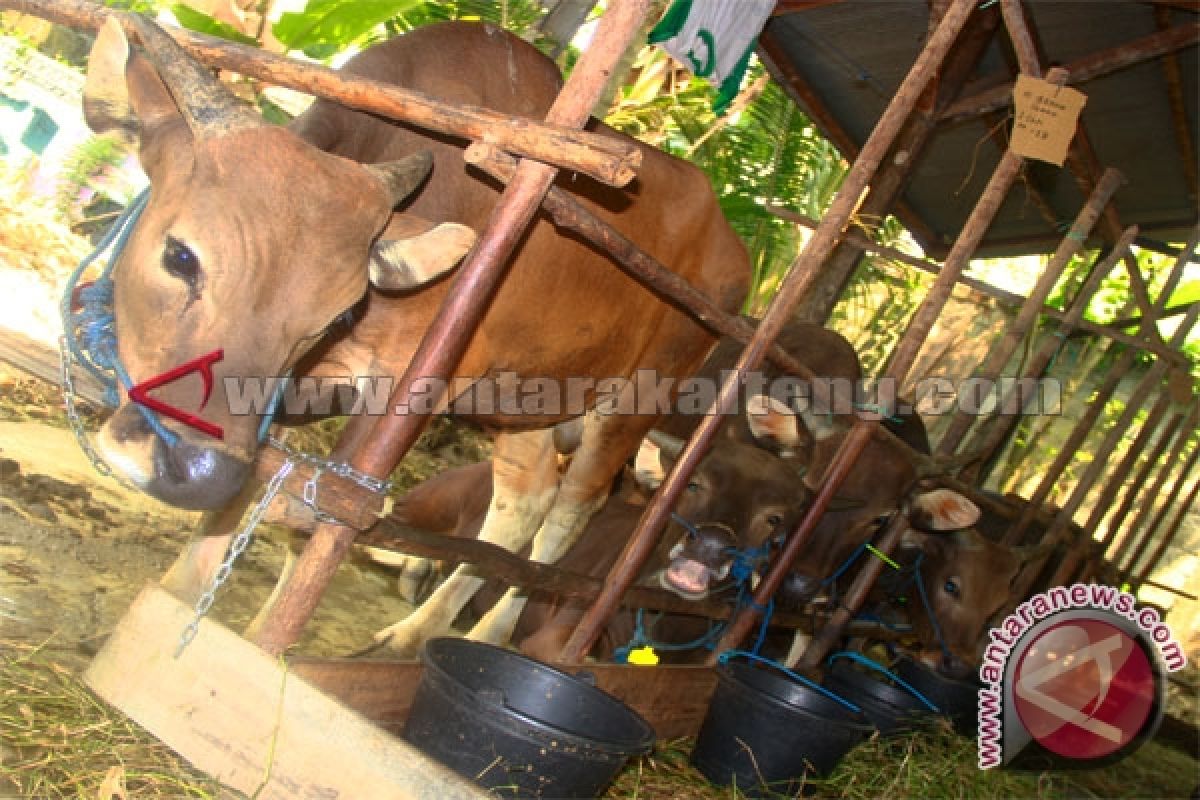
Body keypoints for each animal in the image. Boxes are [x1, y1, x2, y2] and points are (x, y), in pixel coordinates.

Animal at [82, 17, 739, 657]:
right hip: (528, 399)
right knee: (522, 502)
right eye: (179, 256)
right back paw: (417, 630)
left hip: (631, 407)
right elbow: (260, 492)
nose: (195, 470)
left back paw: (487, 634)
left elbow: (316, 511)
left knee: (568, 516)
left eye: (335, 315)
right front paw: (174, 602)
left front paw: (260, 641)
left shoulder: (408, 387)